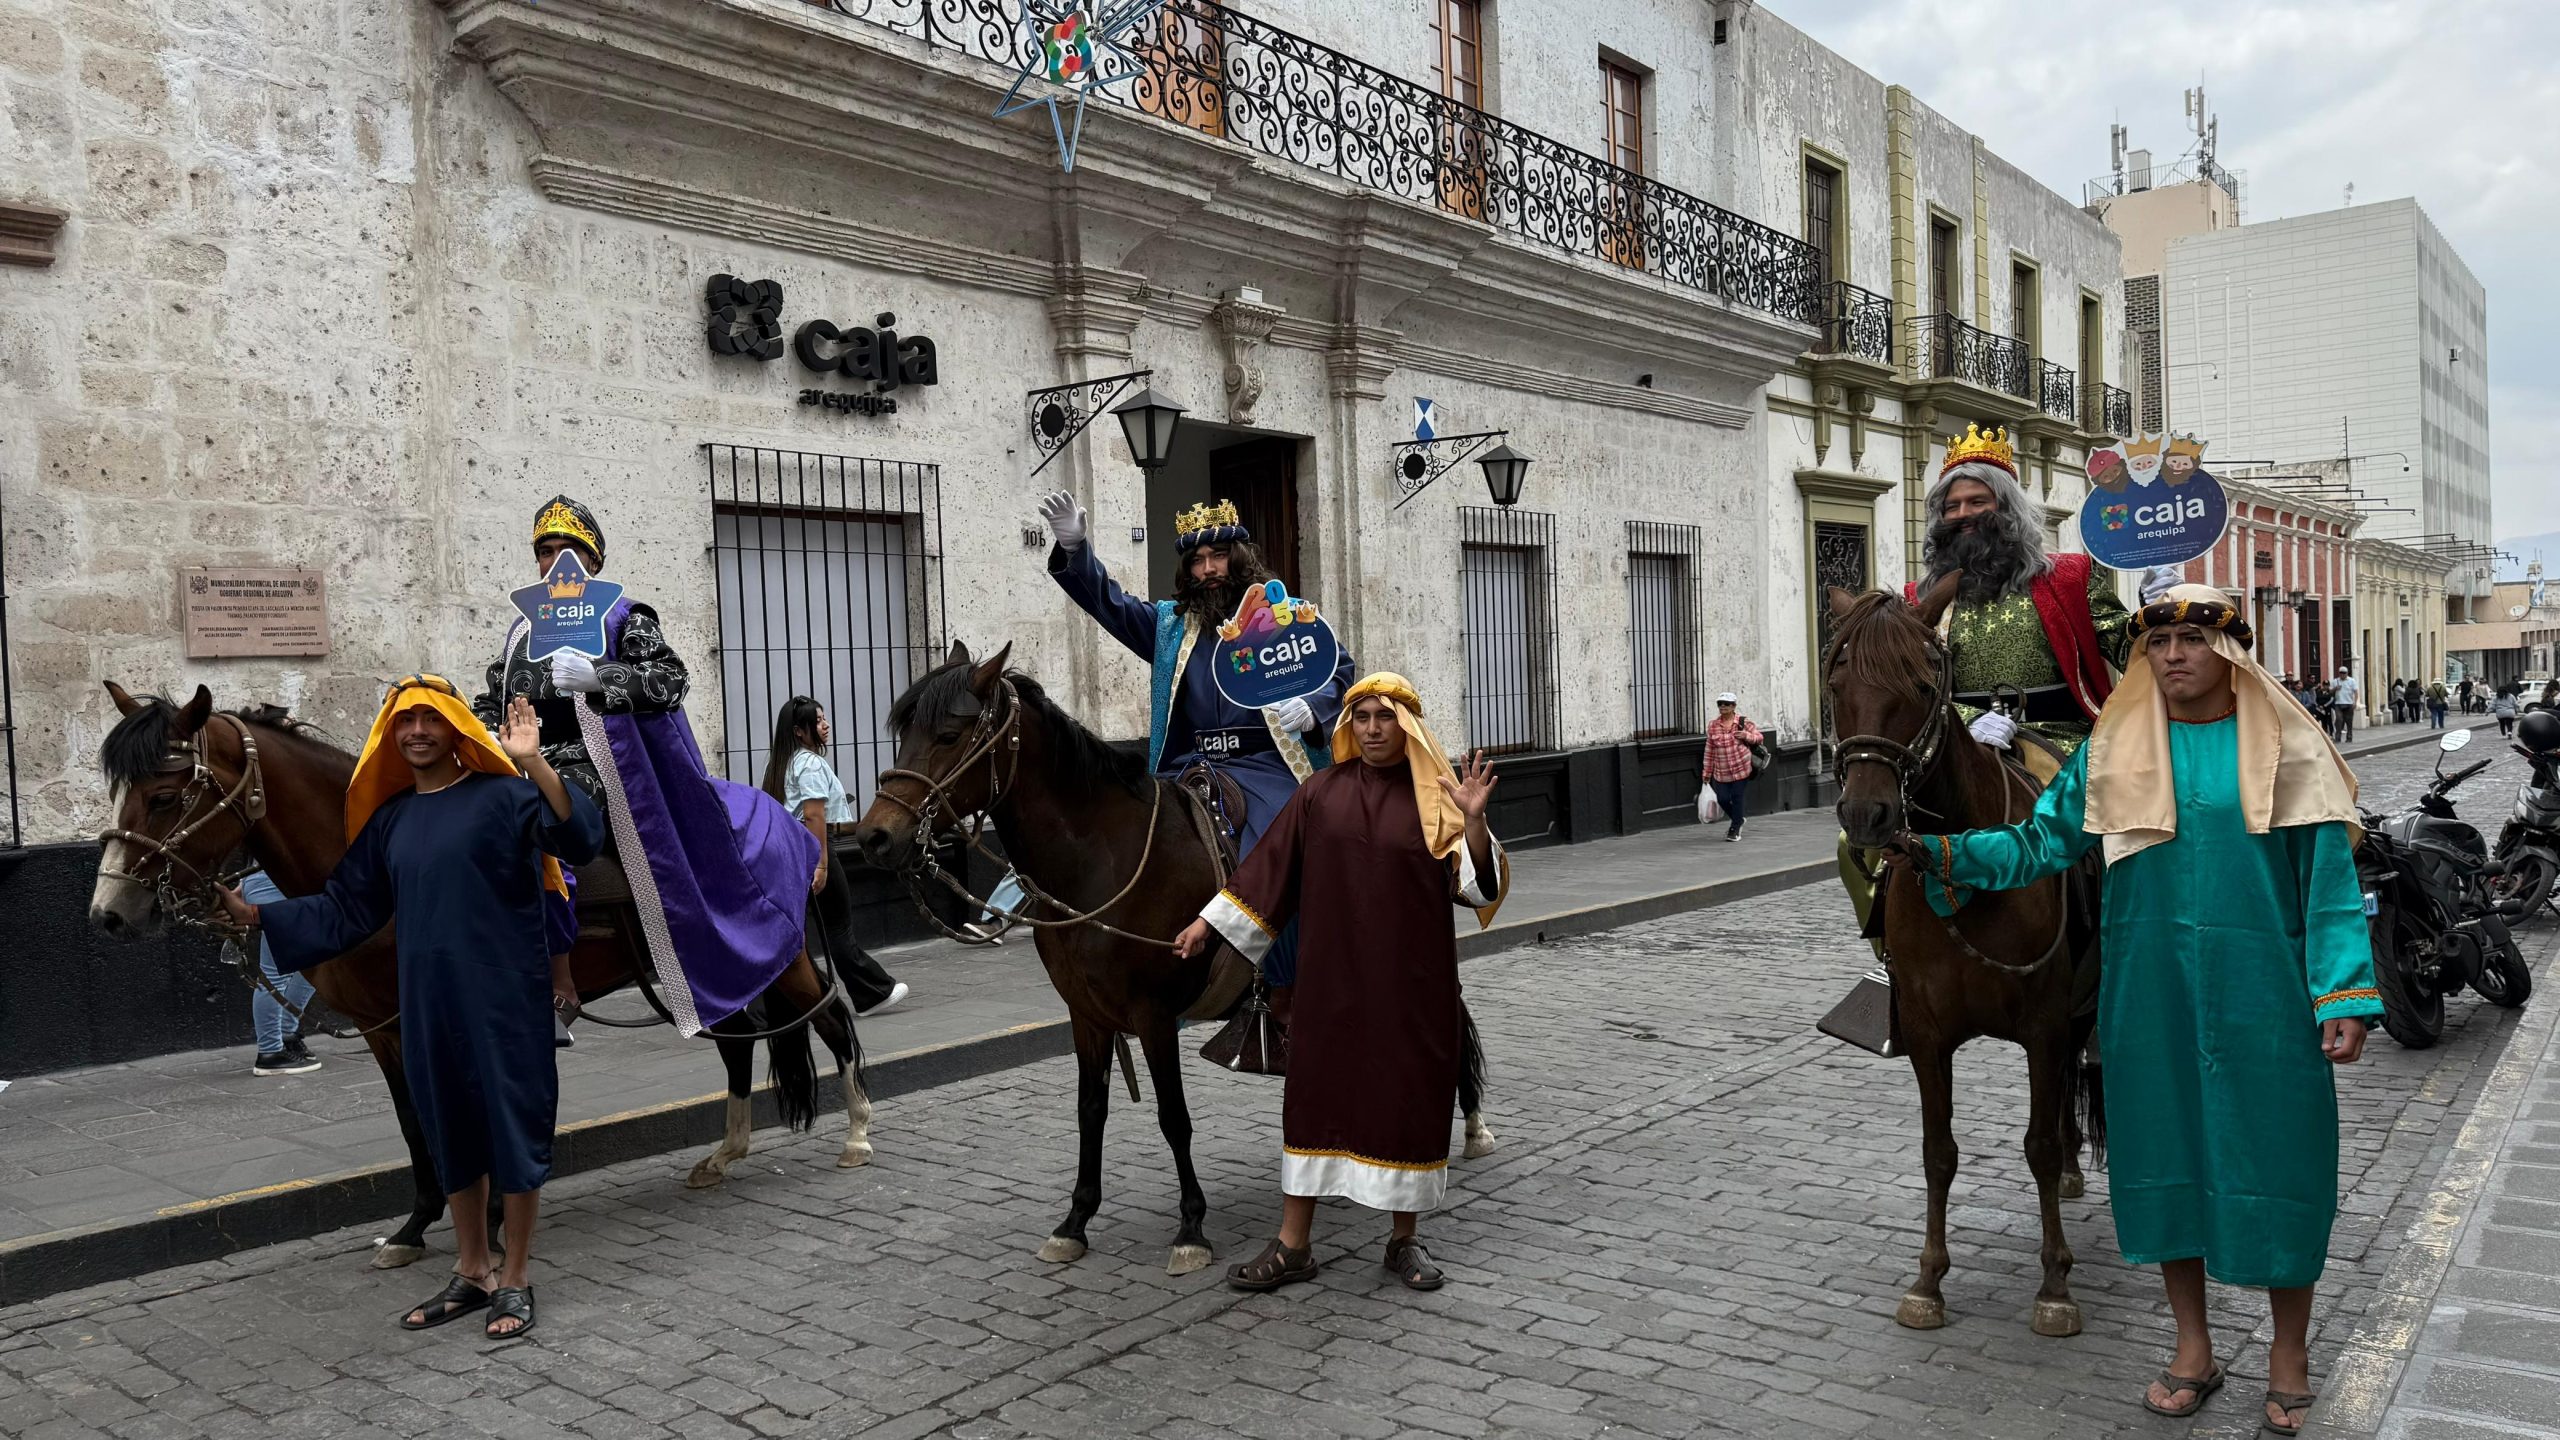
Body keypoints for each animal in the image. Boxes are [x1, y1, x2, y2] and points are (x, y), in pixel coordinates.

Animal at [87, 676, 870, 1260]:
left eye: (164, 795)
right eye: (116, 792)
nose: (110, 912)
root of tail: (788, 818)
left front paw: (490, 1224)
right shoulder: (384, 1027)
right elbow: (416, 1124)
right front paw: (414, 1227)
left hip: (781, 959)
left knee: (832, 1018)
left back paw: (857, 1132)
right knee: (741, 1044)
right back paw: (724, 1155)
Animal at [849, 645, 1495, 1270]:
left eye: (949, 735)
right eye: (904, 730)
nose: (875, 837)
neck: (1096, 858)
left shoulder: (1153, 1014)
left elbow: (1172, 1118)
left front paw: (1191, 1229)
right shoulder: (1086, 1015)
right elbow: (1090, 1110)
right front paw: (1075, 1220)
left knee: (1451, 1021)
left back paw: (1469, 1126)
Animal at [1822, 573, 2099, 1332]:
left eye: (1922, 685)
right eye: (1837, 681)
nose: (1867, 815)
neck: (1970, 865)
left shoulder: (2042, 1025)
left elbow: (2035, 1147)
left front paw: (2055, 1284)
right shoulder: (1926, 1032)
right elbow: (1937, 1150)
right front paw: (1928, 1279)